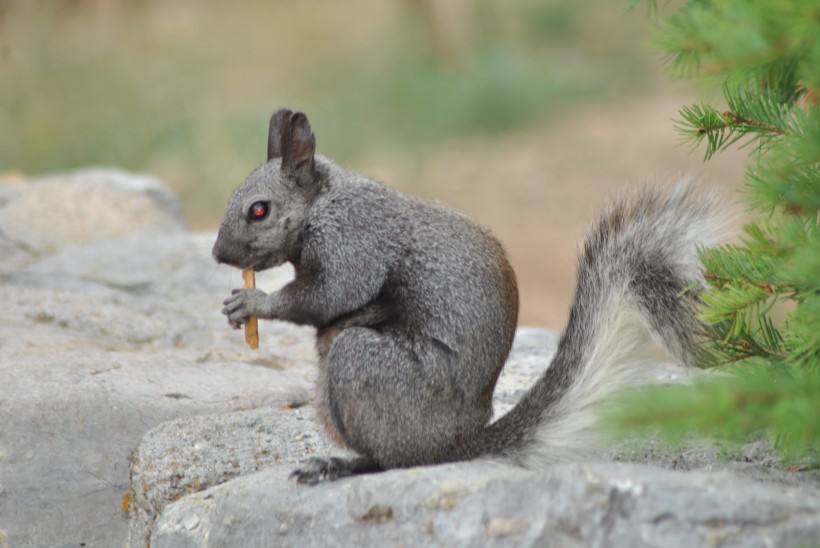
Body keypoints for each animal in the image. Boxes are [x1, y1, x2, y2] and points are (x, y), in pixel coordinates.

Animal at [213, 107, 724, 484]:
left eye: (259, 210)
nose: (219, 253)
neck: (323, 202)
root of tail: (460, 444)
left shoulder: (354, 239)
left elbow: (331, 294)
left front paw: (253, 303)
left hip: (366, 371)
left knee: (394, 460)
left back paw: (340, 464)